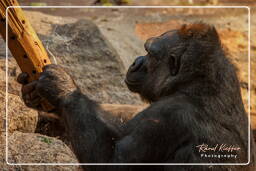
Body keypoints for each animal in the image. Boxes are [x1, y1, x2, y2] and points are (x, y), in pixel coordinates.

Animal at [17, 22, 254, 171]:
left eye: (149, 52)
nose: (136, 61)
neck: (192, 81)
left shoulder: (165, 118)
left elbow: (111, 161)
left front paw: (61, 88)